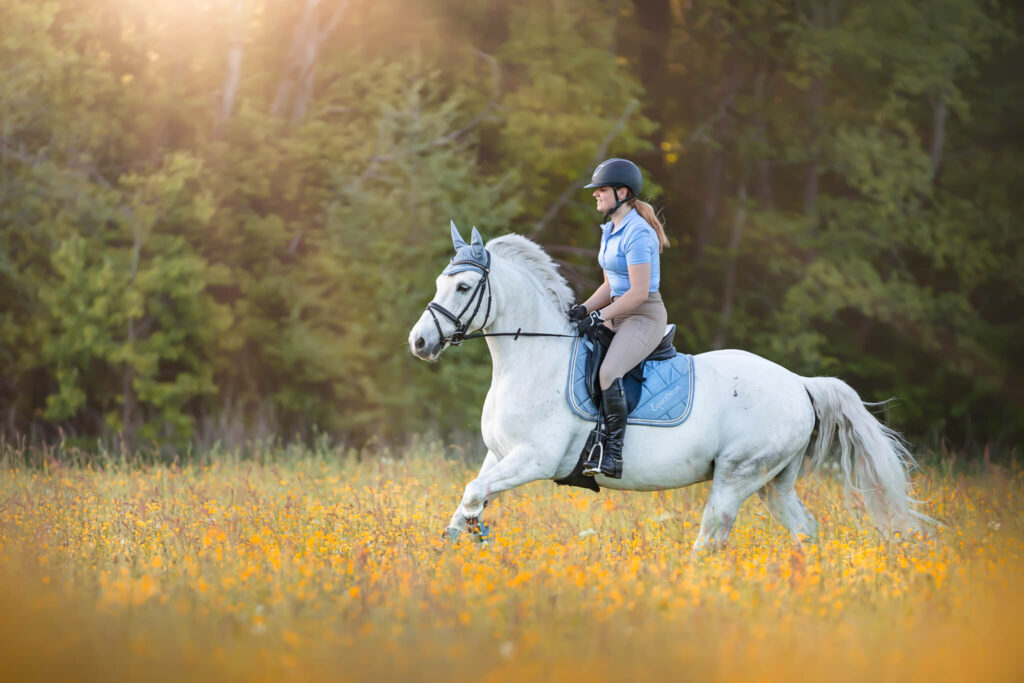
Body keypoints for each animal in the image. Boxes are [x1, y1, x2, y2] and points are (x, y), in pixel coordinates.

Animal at [405, 225, 929, 557]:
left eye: (464, 287)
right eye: (439, 282)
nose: (420, 342)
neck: (533, 357)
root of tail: (799, 384)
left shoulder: (535, 458)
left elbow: (473, 495)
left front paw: (474, 538)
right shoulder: (498, 455)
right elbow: (467, 501)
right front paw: (454, 549)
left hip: (737, 476)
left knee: (710, 539)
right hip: (773, 482)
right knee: (805, 531)